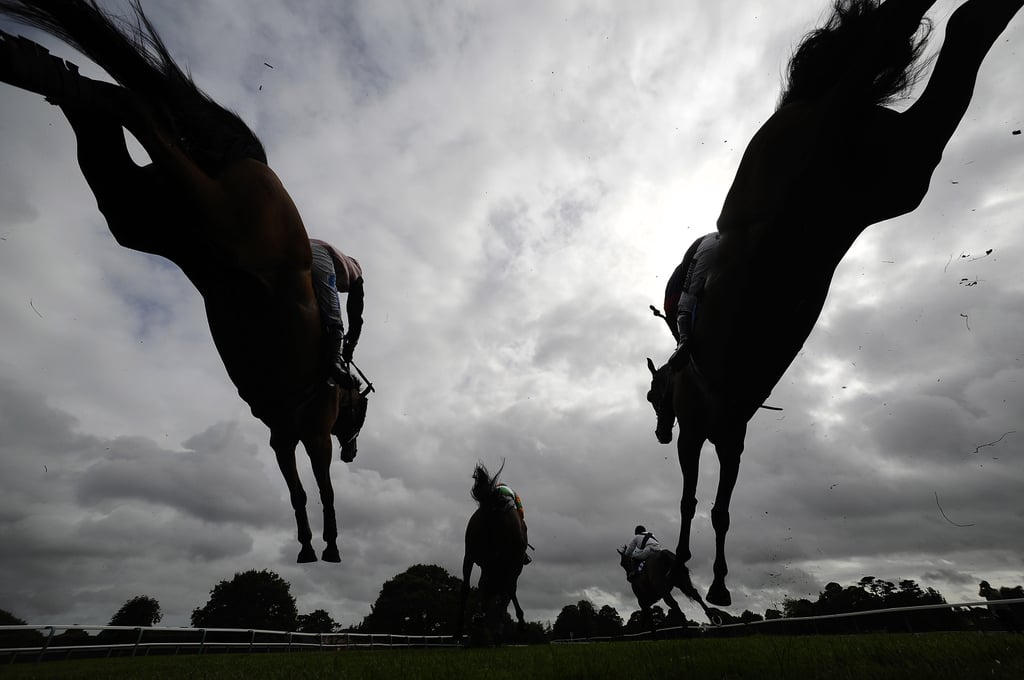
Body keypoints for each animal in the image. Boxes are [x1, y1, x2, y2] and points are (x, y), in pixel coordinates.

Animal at [0, 0, 368, 561]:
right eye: (360, 416)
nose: (353, 455)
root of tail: (251, 159)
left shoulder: (282, 438)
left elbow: (297, 489)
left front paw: (307, 542)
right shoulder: (314, 435)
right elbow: (320, 486)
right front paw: (326, 543)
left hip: (140, 217)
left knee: (104, 125)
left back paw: (45, 68)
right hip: (208, 214)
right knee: (137, 109)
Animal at [643, 0, 1019, 606]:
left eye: (652, 396)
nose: (657, 432)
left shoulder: (702, 435)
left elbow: (694, 501)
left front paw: (689, 570)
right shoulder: (731, 440)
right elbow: (720, 508)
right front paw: (714, 580)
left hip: (841, 139)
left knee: (881, 40)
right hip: (901, 171)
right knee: (964, 25)